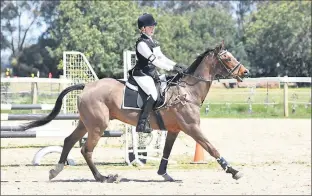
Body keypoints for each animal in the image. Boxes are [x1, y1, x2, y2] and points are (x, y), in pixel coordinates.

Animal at [21, 42, 249, 183]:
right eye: (228, 58)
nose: (245, 72)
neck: (187, 90)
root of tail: (87, 86)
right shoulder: (191, 127)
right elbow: (211, 148)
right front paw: (233, 171)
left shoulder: (174, 129)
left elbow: (166, 152)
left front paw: (163, 174)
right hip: (98, 126)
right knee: (86, 150)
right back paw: (103, 178)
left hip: (86, 123)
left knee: (69, 141)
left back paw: (56, 170)